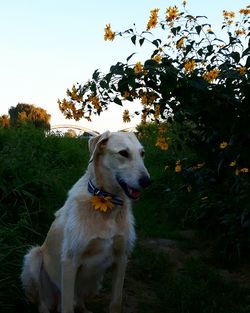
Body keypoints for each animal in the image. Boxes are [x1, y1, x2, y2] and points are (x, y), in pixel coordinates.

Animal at [20, 131, 150, 312]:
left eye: (142, 153)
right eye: (123, 153)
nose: (147, 181)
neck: (106, 202)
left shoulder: (122, 258)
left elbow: (116, 302)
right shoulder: (69, 261)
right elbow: (67, 307)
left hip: (94, 284)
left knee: (80, 302)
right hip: (33, 258)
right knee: (44, 304)